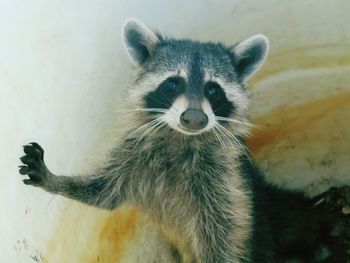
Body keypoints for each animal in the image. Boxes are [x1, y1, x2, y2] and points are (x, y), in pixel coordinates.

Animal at [19, 19, 334, 263]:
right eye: (173, 83)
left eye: (213, 89)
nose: (194, 118)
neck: (180, 139)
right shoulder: (133, 155)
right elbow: (104, 192)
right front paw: (57, 180)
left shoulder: (225, 183)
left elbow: (222, 234)